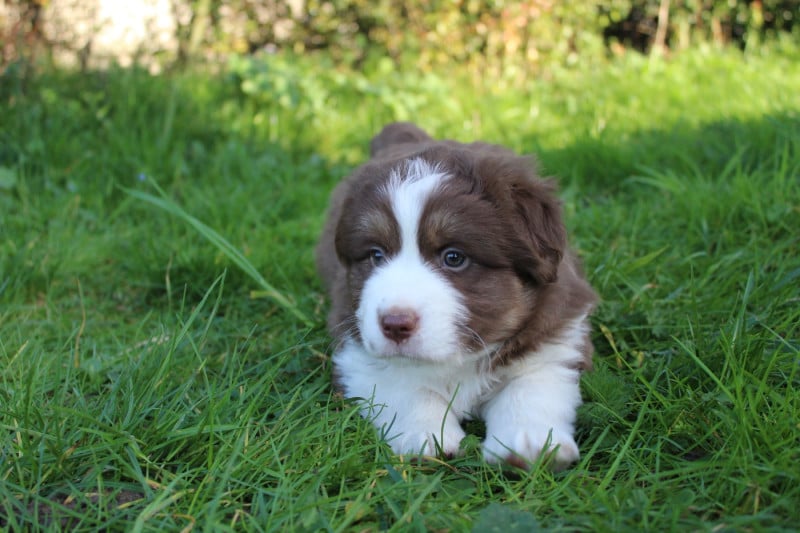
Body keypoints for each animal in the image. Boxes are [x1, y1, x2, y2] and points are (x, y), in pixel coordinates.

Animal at [316, 122, 597, 468]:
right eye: (376, 255)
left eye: (454, 257)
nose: (394, 324)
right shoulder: (355, 342)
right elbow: (403, 383)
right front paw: (426, 436)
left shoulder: (556, 337)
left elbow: (531, 387)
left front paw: (530, 443)